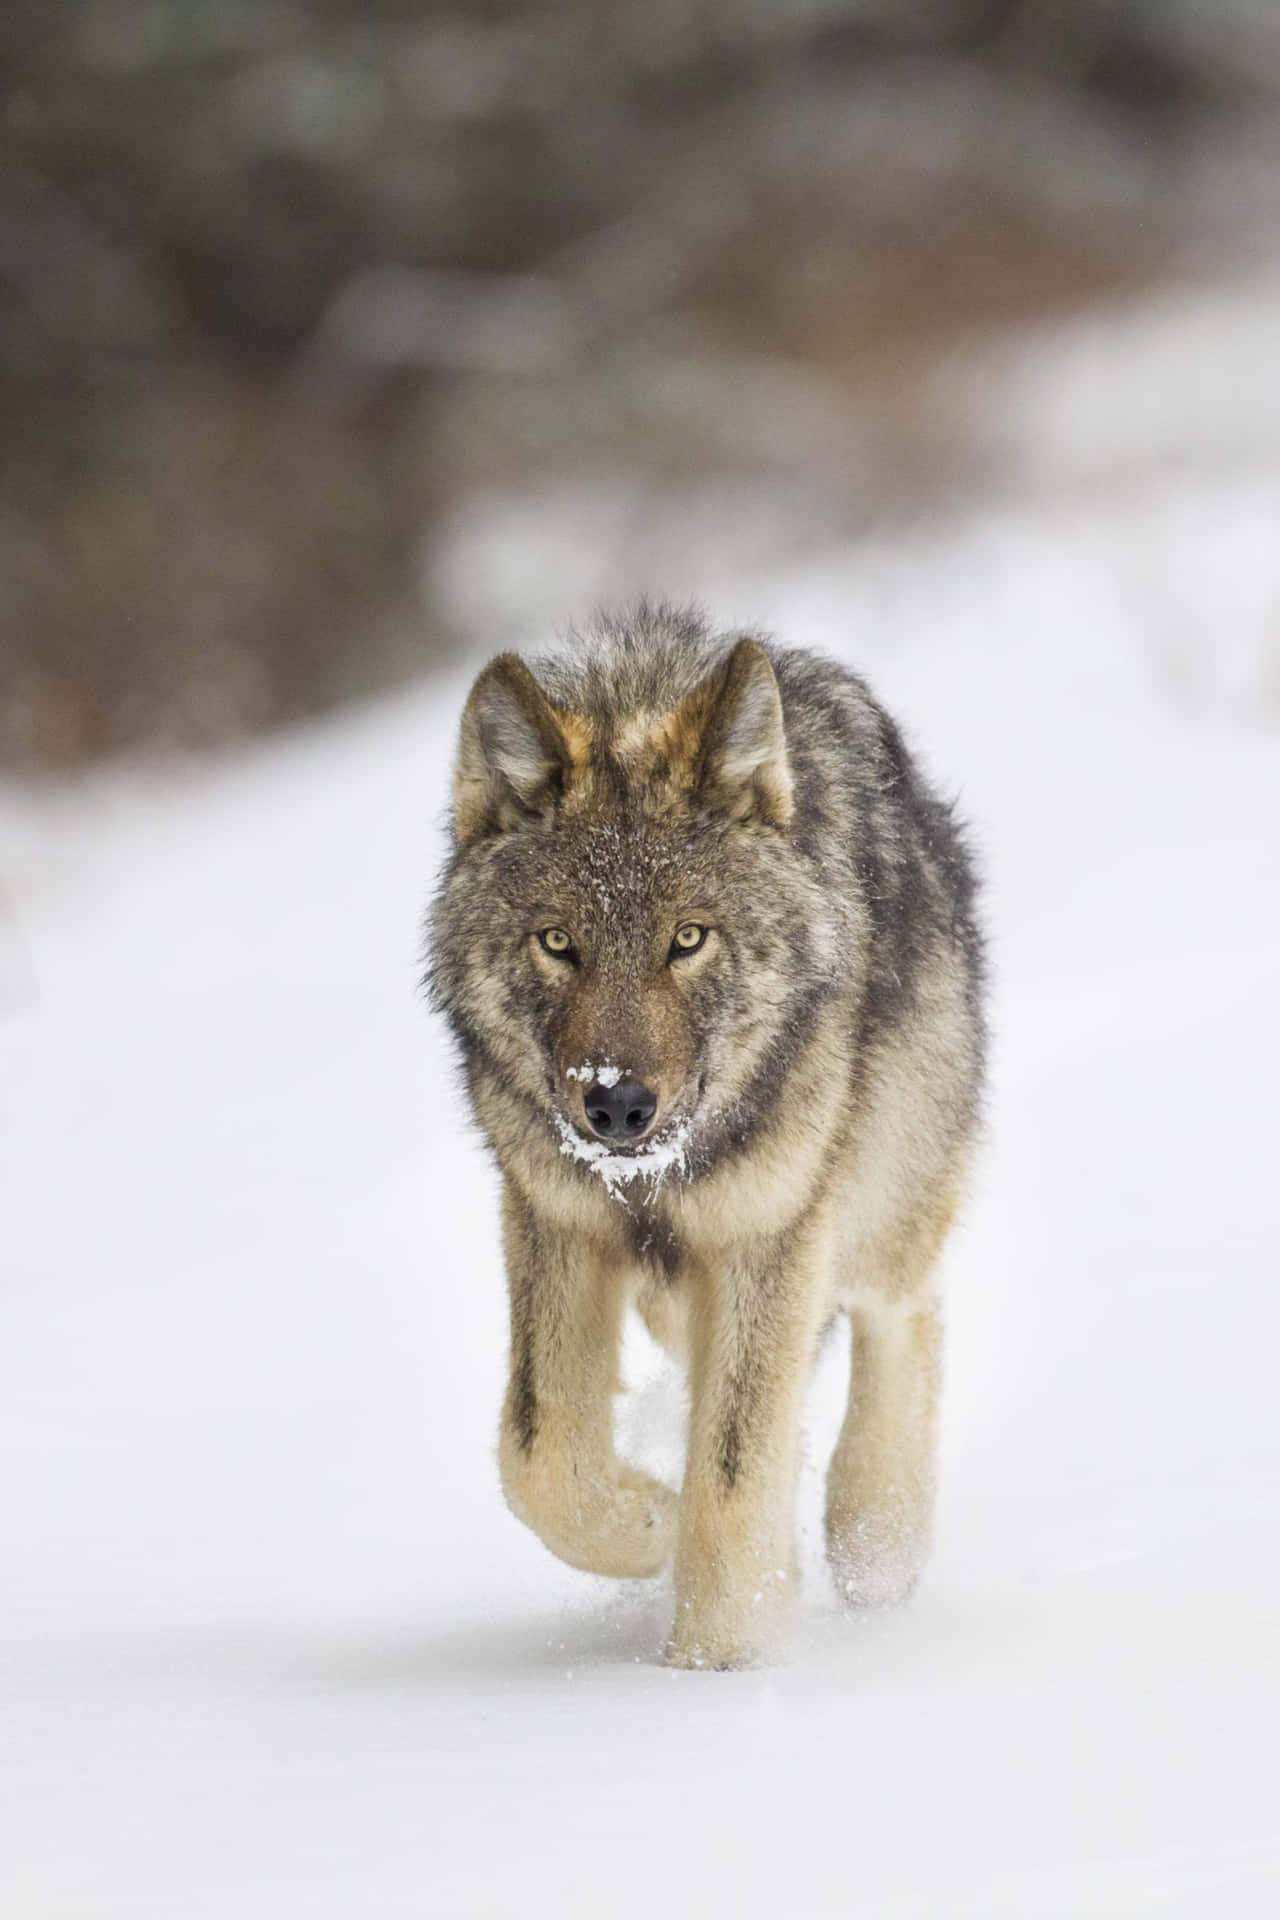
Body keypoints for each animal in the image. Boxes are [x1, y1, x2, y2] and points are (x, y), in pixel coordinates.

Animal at [426, 602, 990, 1666]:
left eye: (687, 940)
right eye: (558, 944)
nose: (614, 1106)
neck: (653, 1183)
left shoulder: (766, 1235)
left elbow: (732, 1479)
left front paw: (713, 1670)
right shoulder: (556, 1222)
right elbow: (540, 1458)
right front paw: (653, 1524)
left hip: (881, 1194)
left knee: (906, 1309)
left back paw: (877, 1540)